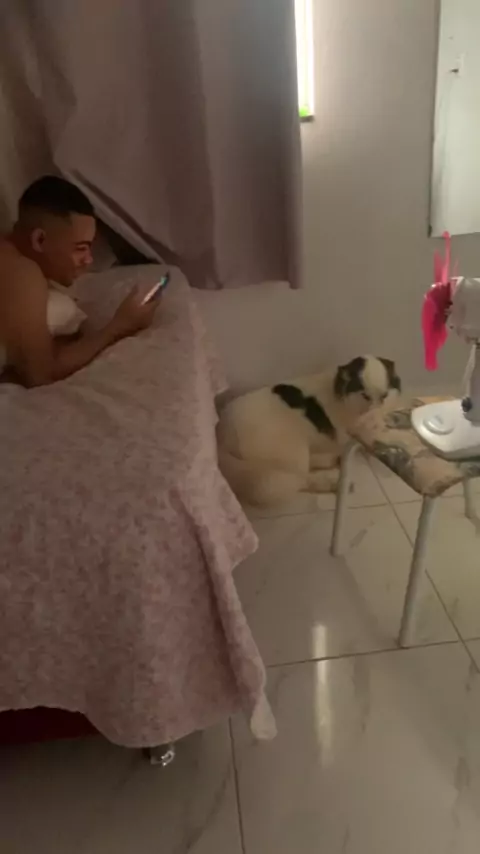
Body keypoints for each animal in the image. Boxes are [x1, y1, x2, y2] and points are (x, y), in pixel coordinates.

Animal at [217, 355, 401, 506]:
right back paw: (333, 481)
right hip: (292, 452)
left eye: (384, 396)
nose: (376, 410)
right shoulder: (357, 429)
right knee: (299, 479)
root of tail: (222, 432)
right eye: (365, 396)